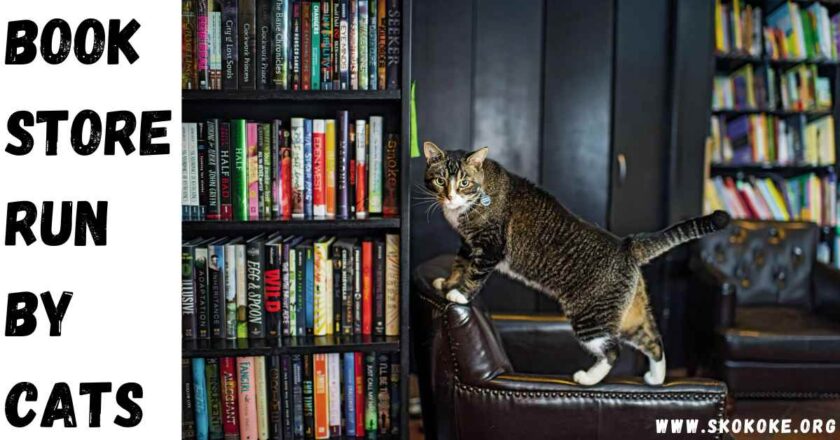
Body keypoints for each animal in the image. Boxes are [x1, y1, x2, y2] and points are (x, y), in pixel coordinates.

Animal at [424, 142, 732, 384]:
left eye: (464, 182)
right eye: (440, 181)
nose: (450, 196)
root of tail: (626, 245)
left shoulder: (489, 247)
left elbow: (474, 273)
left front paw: (459, 294)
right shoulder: (468, 244)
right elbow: (459, 264)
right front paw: (447, 282)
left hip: (590, 316)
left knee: (613, 350)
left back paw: (587, 378)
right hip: (630, 314)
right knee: (653, 341)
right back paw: (656, 378)